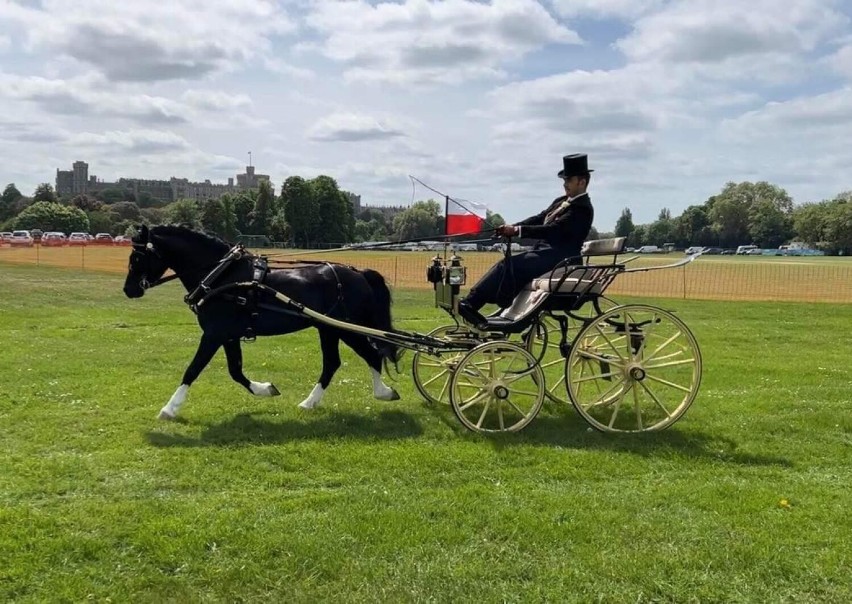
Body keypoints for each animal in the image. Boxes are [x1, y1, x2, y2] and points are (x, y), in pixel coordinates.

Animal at [124, 224, 402, 418]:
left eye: (136, 257)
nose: (129, 290)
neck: (221, 276)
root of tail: (358, 273)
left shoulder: (214, 334)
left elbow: (193, 369)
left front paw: (169, 409)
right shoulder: (228, 336)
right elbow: (235, 371)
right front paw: (265, 388)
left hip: (346, 329)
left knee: (371, 355)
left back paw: (383, 392)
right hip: (329, 329)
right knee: (334, 363)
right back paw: (310, 402)